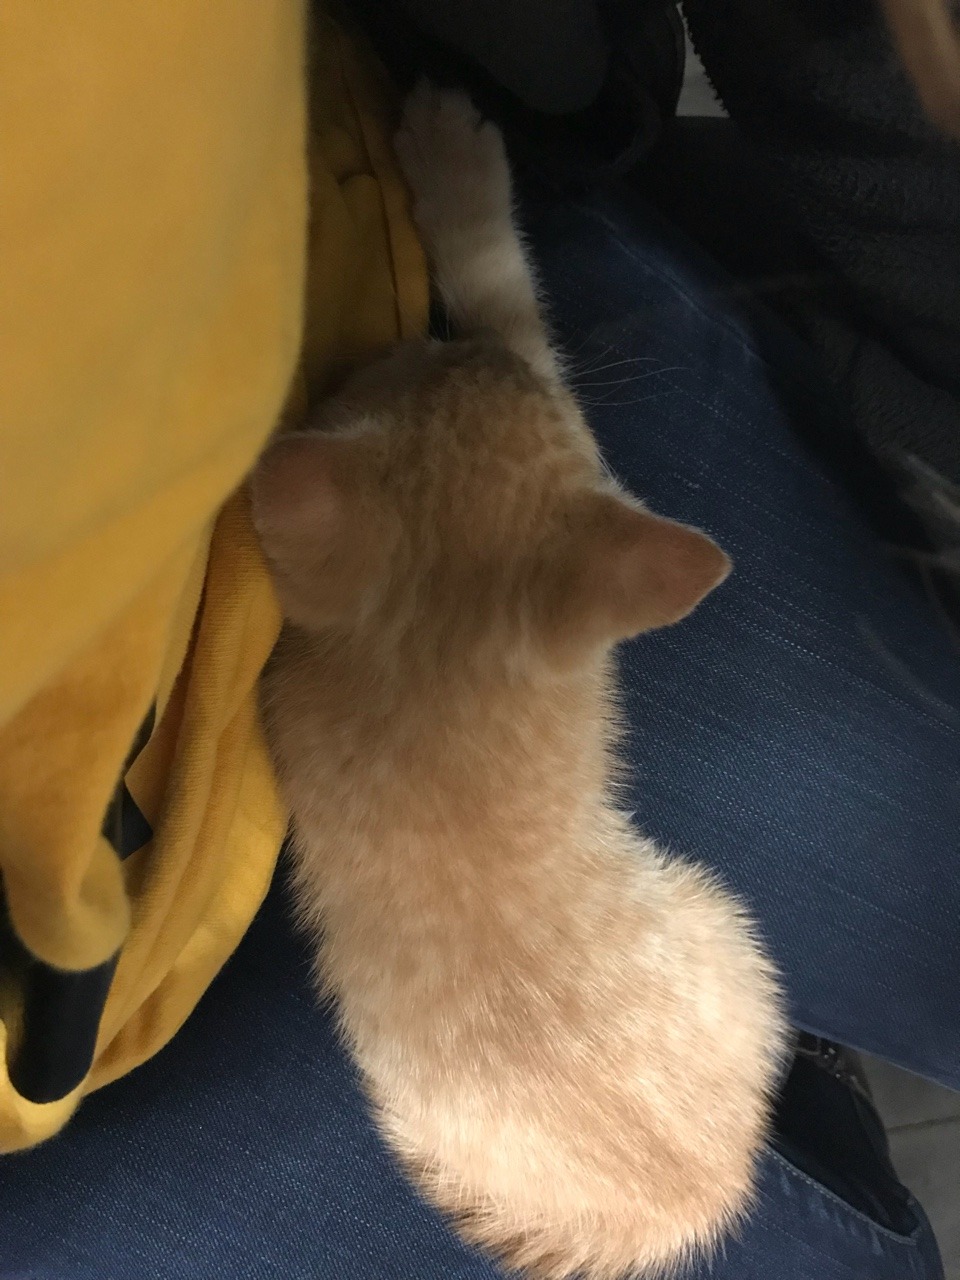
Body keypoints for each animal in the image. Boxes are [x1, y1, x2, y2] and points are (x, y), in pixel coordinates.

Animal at [251, 84, 787, 1280]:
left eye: (397, 356)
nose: (400, 333)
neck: (440, 667)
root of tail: (688, 1207)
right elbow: (512, 311)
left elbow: (509, 310)